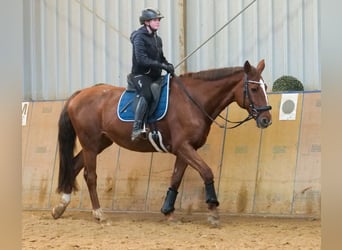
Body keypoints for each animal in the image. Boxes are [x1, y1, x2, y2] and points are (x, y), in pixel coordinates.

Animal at [51, 59, 272, 226]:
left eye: (266, 87)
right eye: (254, 88)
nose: (266, 120)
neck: (193, 101)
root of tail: (80, 94)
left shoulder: (184, 150)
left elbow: (175, 178)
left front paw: (168, 212)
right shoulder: (184, 147)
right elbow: (207, 172)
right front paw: (213, 211)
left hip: (99, 143)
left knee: (74, 167)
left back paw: (60, 207)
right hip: (90, 144)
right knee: (90, 176)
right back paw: (99, 214)